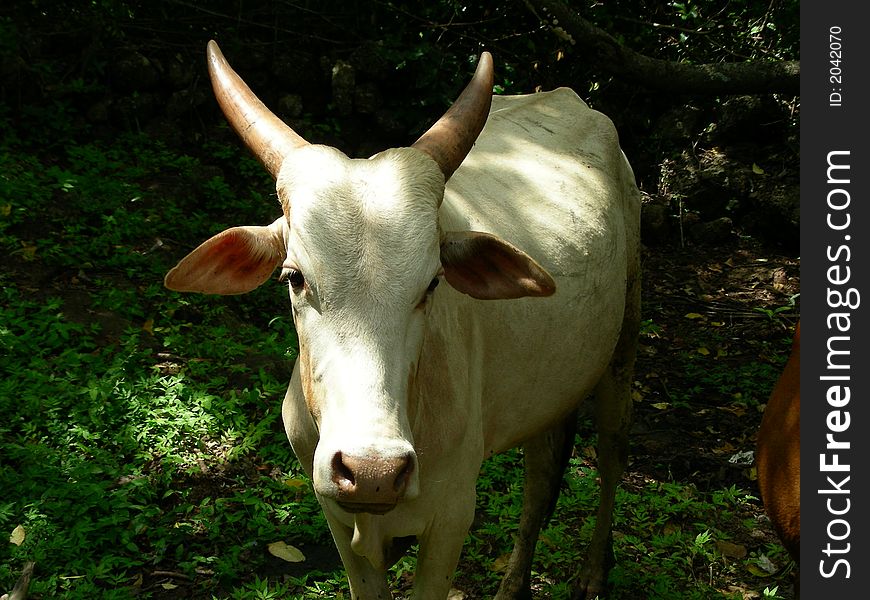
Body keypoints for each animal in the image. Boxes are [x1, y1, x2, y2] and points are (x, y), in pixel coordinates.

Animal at [165, 39, 640, 596]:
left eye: (432, 282)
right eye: (294, 277)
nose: (373, 470)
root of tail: (568, 97)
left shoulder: (452, 517)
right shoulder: (335, 512)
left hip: (624, 345)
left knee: (610, 458)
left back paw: (592, 571)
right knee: (541, 477)